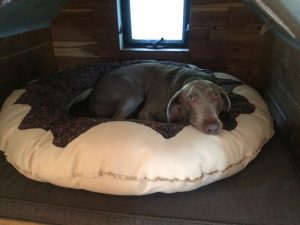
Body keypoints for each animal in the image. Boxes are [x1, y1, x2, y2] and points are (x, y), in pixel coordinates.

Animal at [88, 62, 231, 134]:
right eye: (190, 98)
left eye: (216, 96)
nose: (213, 127)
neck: (193, 77)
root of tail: (92, 95)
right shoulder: (145, 112)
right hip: (134, 92)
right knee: (116, 119)